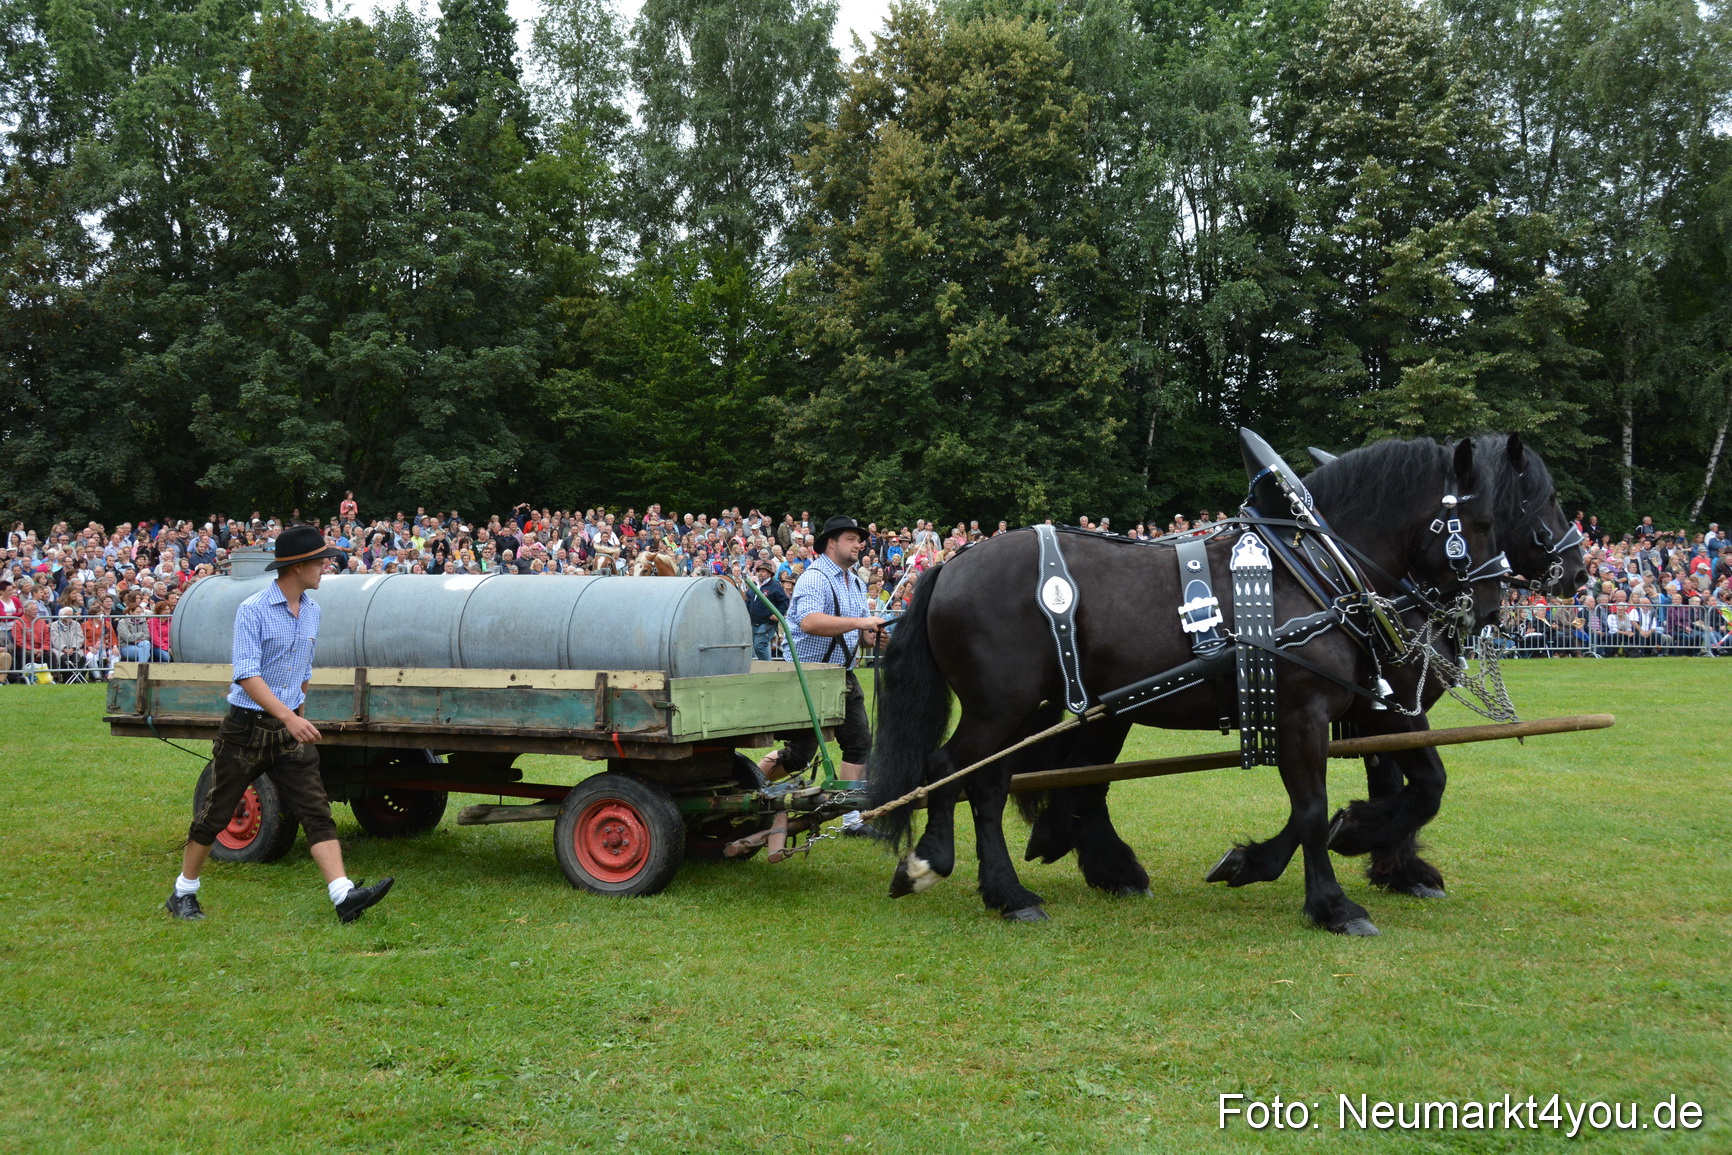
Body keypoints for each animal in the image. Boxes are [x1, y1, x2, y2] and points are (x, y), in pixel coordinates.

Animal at [865, 435, 1510, 933]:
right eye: (1481, 522)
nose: (1490, 609)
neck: (1315, 572)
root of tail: (951, 565)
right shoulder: (1310, 713)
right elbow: (1317, 807)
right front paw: (1334, 901)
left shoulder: (1369, 708)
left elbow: (1394, 787)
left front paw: (1356, 858)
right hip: (1000, 707)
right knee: (950, 768)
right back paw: (944, 868)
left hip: (1030, 710)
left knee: (997, 782)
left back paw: (1027, 883)